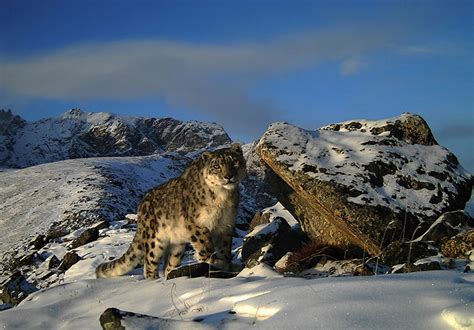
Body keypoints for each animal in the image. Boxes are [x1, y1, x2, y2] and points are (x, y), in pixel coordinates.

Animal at [95, 143, 246, 280]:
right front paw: (212, 262)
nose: (228, 176)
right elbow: (205, 246)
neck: (223, 198)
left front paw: (226, 264)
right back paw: (153, 280)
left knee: (168, 266)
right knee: (149, 263)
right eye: (216, 166)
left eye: (234, 161)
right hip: (154, 240)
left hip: (176, 247)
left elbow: (224, 249)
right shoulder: (197, 224)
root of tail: (141, 205)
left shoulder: (225, 225)